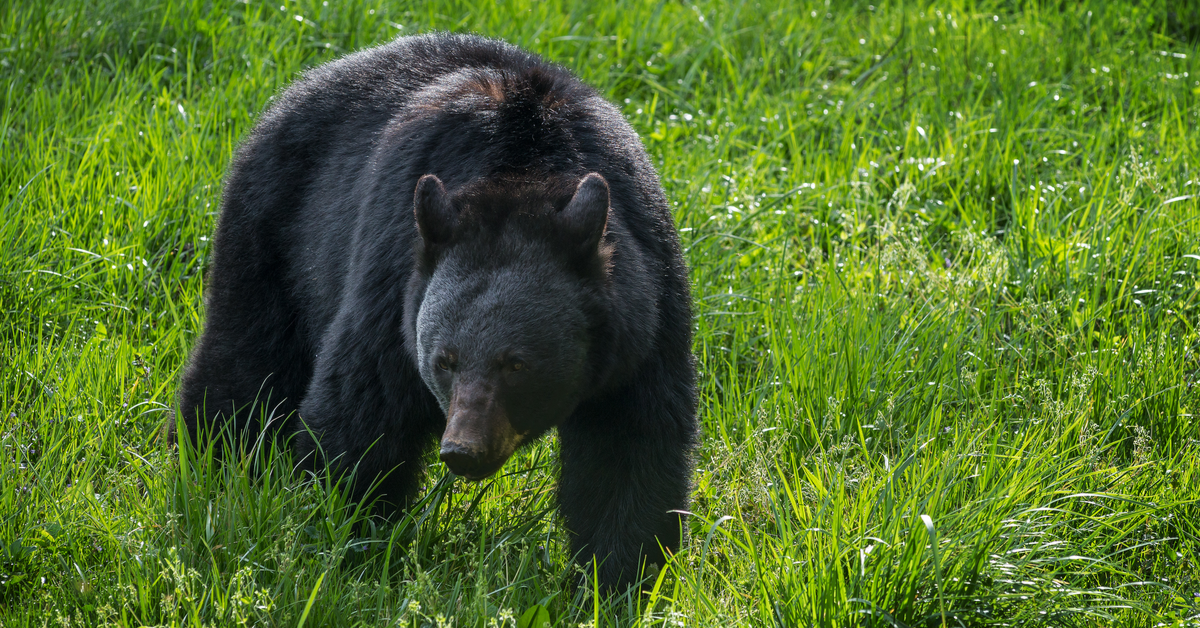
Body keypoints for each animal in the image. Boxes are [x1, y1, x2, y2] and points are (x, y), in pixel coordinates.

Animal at [175, 32, 697, 590]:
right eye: (443, 361)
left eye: (517, 364)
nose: (463, 450)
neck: (524, 174)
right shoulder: (392, 282)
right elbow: (363, 413)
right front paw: (346, 542)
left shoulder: (644, 318)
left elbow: (629, 448)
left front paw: (616, 579)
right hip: (274, 229)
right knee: (246, 360)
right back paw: (206, 465)